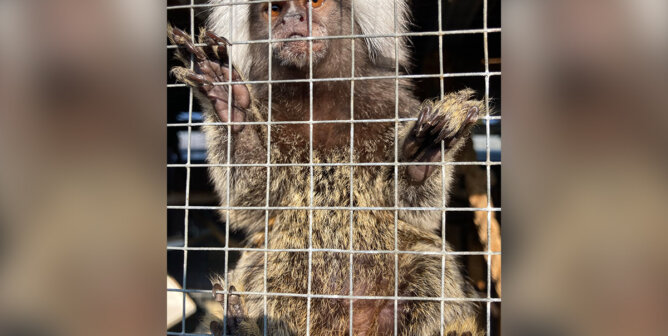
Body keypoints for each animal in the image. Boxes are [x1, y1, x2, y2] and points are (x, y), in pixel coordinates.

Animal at [170, 0, 486, 336]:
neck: (318, 95)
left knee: (430, 263)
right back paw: (241, 323)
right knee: (261, 265)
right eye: (274, 9)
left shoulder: (398, 106)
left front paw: (423, 155)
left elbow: (417, 213)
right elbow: (252, 205)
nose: (292, 19)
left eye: (315, 3)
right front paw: (230, 104)